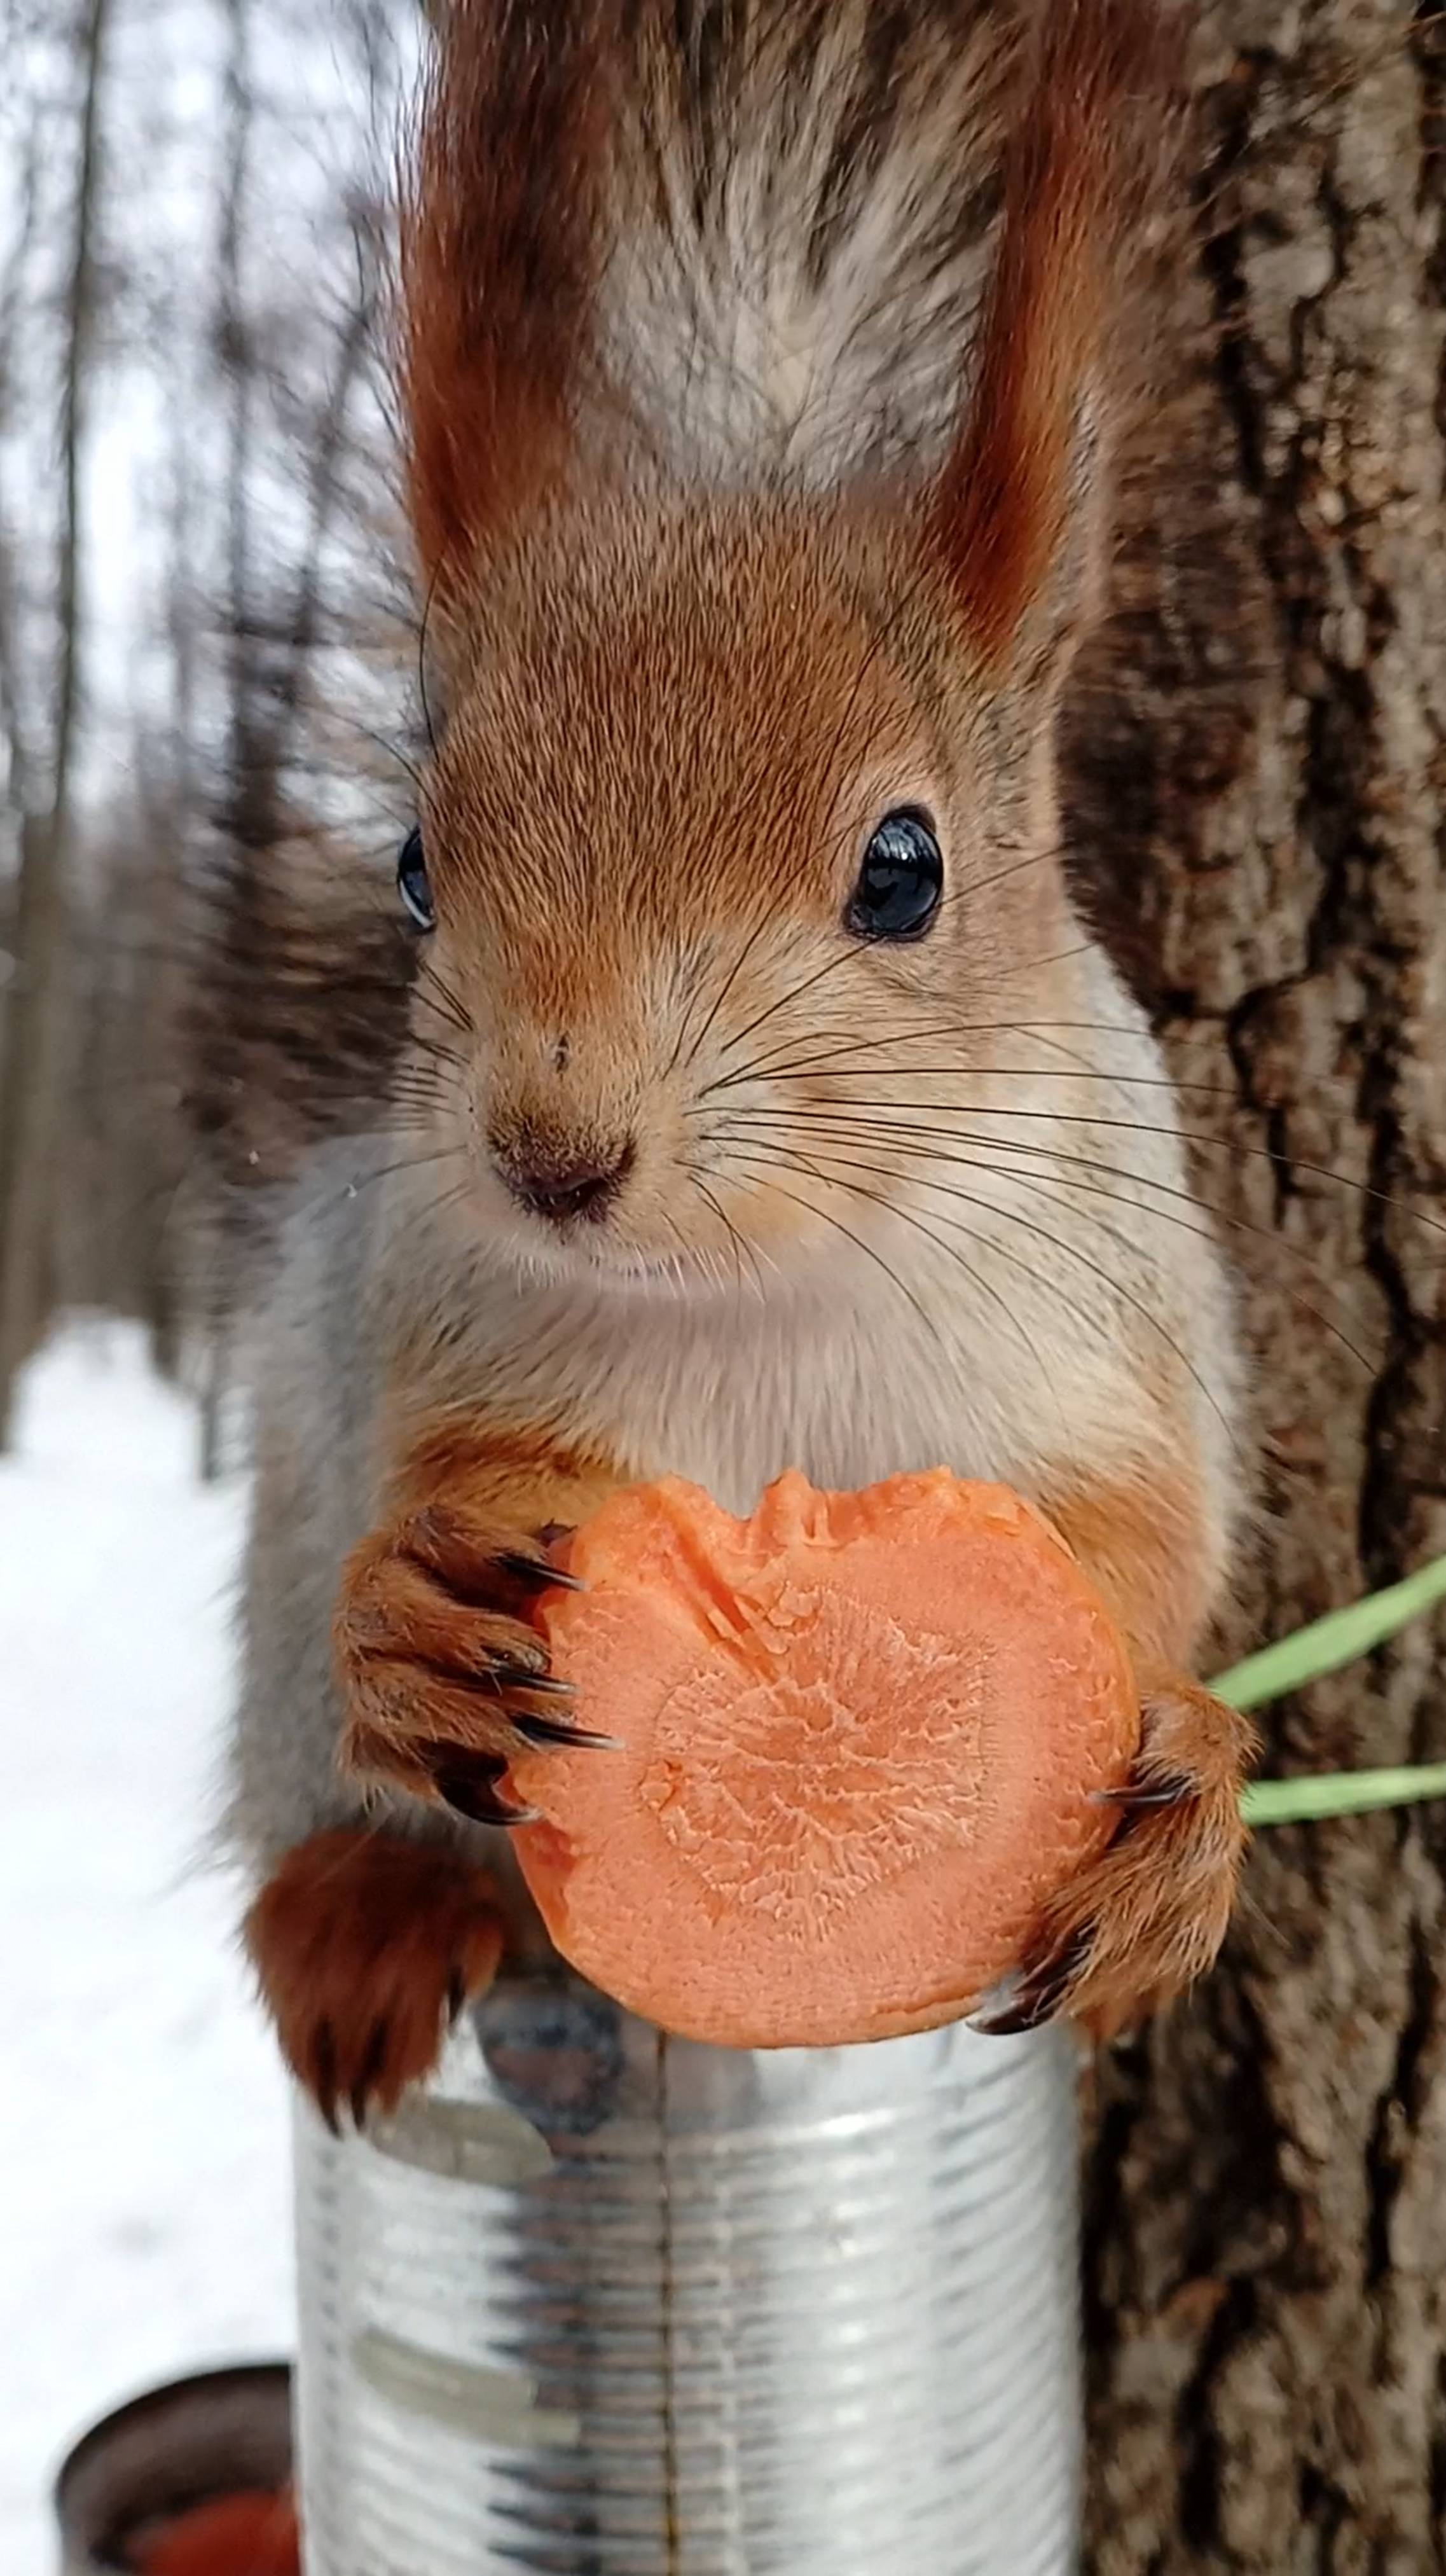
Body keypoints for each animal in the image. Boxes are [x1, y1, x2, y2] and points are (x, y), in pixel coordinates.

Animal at [234, 0, 1252, 2133]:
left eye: (904, 868)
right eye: (412, 863)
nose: (550, 1152)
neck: (763, 1298)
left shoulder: (1121, 1352)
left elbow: (1141, 1559)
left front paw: (1183, 1796)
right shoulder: (442, 1335)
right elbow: (435, 1492)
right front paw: (419, 1616)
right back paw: (363, 1906)